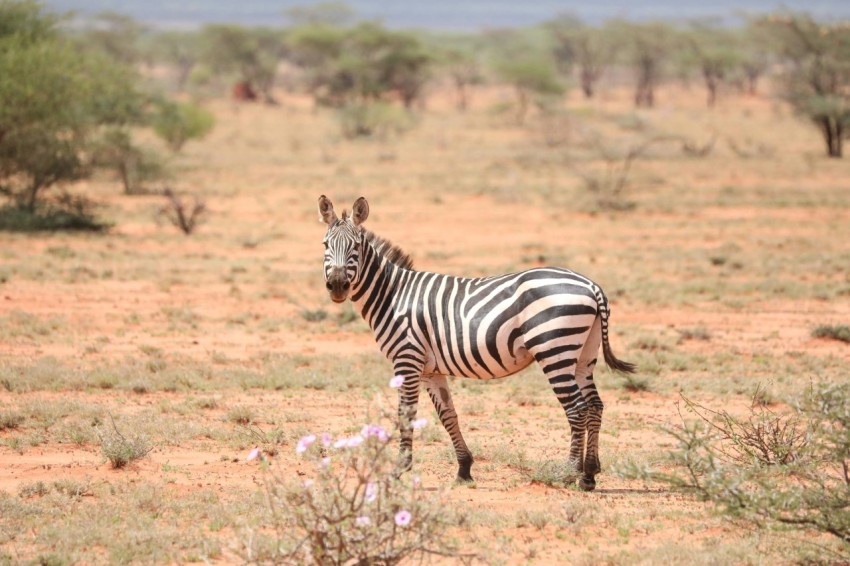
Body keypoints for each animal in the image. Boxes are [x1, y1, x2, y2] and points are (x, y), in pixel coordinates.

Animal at [318, 195, 636, 491]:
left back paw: (569, 472)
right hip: (583, 355)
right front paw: (464, 468)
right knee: (594, 406)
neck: (393, 295)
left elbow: (406, 414)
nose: (337, 286)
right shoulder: (430, 369)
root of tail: (592, 286)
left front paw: (399, 469)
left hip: (554, 350)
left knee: (577, 409)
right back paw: (589, 474)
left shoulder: (407, 360)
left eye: (355, 248)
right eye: (325, 245)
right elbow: (448, 415)